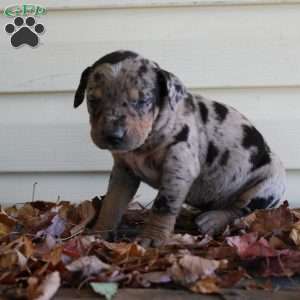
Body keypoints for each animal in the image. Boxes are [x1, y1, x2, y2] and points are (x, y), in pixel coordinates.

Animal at [74, 49, 288, 246]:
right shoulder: (123, 172)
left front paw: (152, 238)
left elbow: (162, 206)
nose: (113, 136)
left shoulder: (178, 168)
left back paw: (212, 220)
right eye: (93, 100)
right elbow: (112, 203)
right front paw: (99, 232)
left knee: (241, 210)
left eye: (143, 101)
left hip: (266, 186)